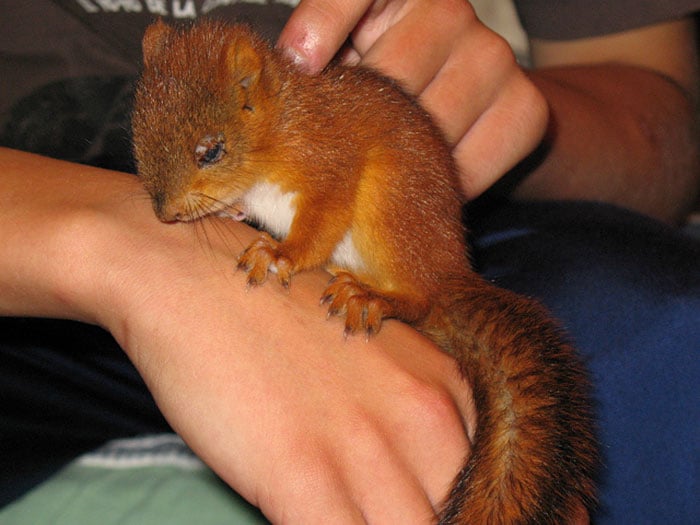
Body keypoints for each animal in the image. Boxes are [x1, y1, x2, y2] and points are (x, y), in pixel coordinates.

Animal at [134, 19, 600, 520]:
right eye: (137, 130)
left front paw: (280, 254)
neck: (280, 125)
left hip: (391, 209)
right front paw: (229, 211)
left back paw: (374, 295)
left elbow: (318, 225)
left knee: (420, 300)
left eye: (212, 151)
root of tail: (449, 268)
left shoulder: (328, 165)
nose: (164, 214)